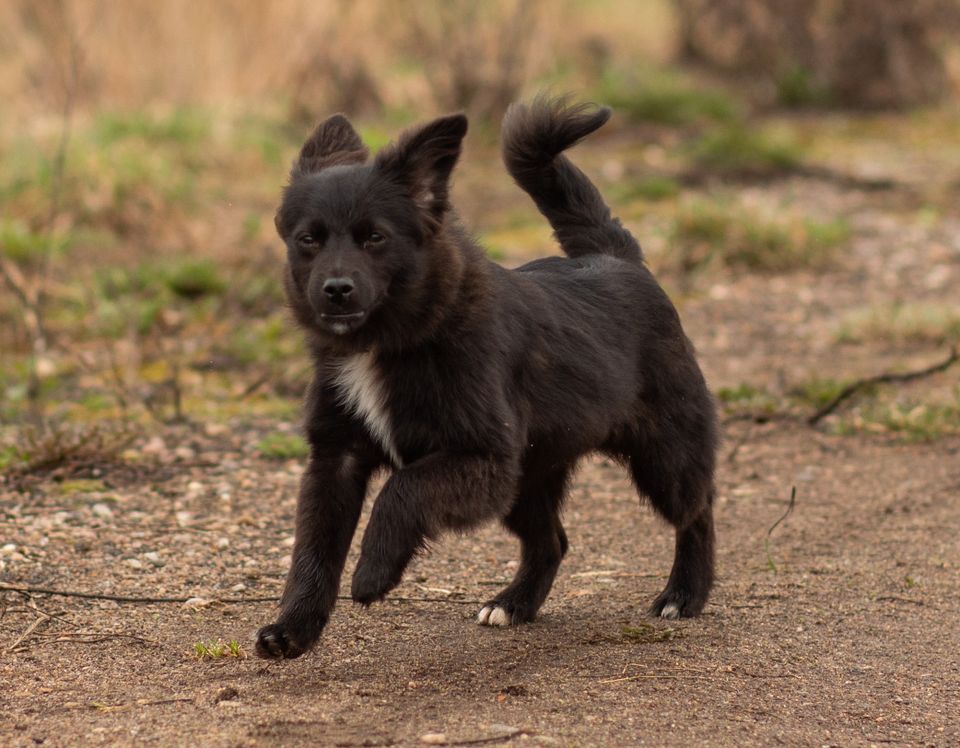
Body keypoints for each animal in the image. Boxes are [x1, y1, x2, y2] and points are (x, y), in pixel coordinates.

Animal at [251, 95, 716, 660]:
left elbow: (401, 489)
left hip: (663, 456)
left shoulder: (482, 459)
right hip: (530, 475)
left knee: (698, 511)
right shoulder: (335, 461)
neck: (395, 341)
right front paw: (292, 629)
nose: (336, 289)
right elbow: (312, 552)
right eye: (308, 240)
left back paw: (685, 593)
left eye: (375, 237)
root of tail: (616, 258)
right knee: (553, 541)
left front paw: (374, 573)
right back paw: (515, 603)